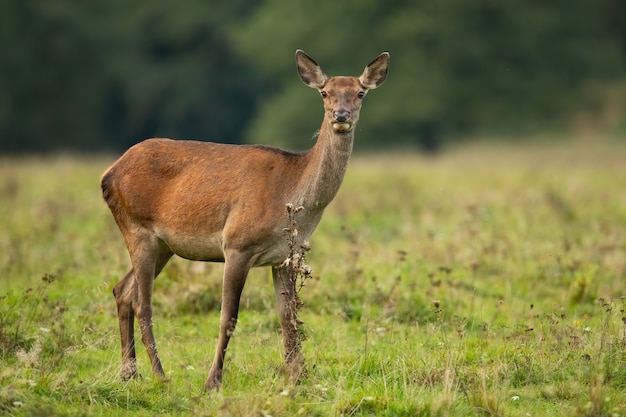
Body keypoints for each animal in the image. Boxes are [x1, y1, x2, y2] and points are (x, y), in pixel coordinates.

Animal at [100, 49, 388, 390]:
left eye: (360, 92)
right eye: (325, 93)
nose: (341, 115)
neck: (293, 197)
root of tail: (108, 175)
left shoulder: (285, 257)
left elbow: (288, 318)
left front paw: (297, 377)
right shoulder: (237, 244)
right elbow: (229, 317)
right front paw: (213, 381)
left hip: (163, 246)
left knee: (122, 290)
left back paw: (129, 373)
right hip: (137, 227)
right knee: (142, 302)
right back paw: (159, 374)